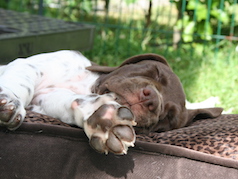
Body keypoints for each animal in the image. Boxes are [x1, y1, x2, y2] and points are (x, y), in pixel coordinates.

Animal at [0, 50, 223, 154]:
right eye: (156, 73)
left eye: (167, 117)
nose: (151, 99)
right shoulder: (30, 66)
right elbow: (22, 82)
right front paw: (11, 101)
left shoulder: (45, 99)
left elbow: (75, 101)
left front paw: (103, 119)